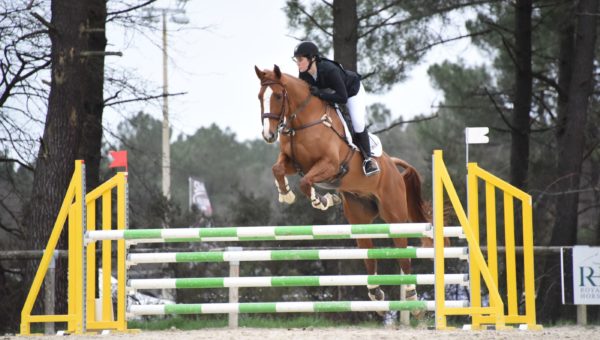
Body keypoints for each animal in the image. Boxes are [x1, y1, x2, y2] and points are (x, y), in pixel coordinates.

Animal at [255, 64, 434, 316]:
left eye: (279, 96)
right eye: (260, 97)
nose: (268, 135)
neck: (303, 121)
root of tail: (392, 165)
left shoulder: (329, 165)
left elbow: (305, 182)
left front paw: (321, 200)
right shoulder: (294, 162)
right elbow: (277, 168)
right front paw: (286, 194)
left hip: (394, 215)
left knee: (403, 255)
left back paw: (412, 299)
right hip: (359, 218)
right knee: (369, 254)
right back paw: (377, 296)